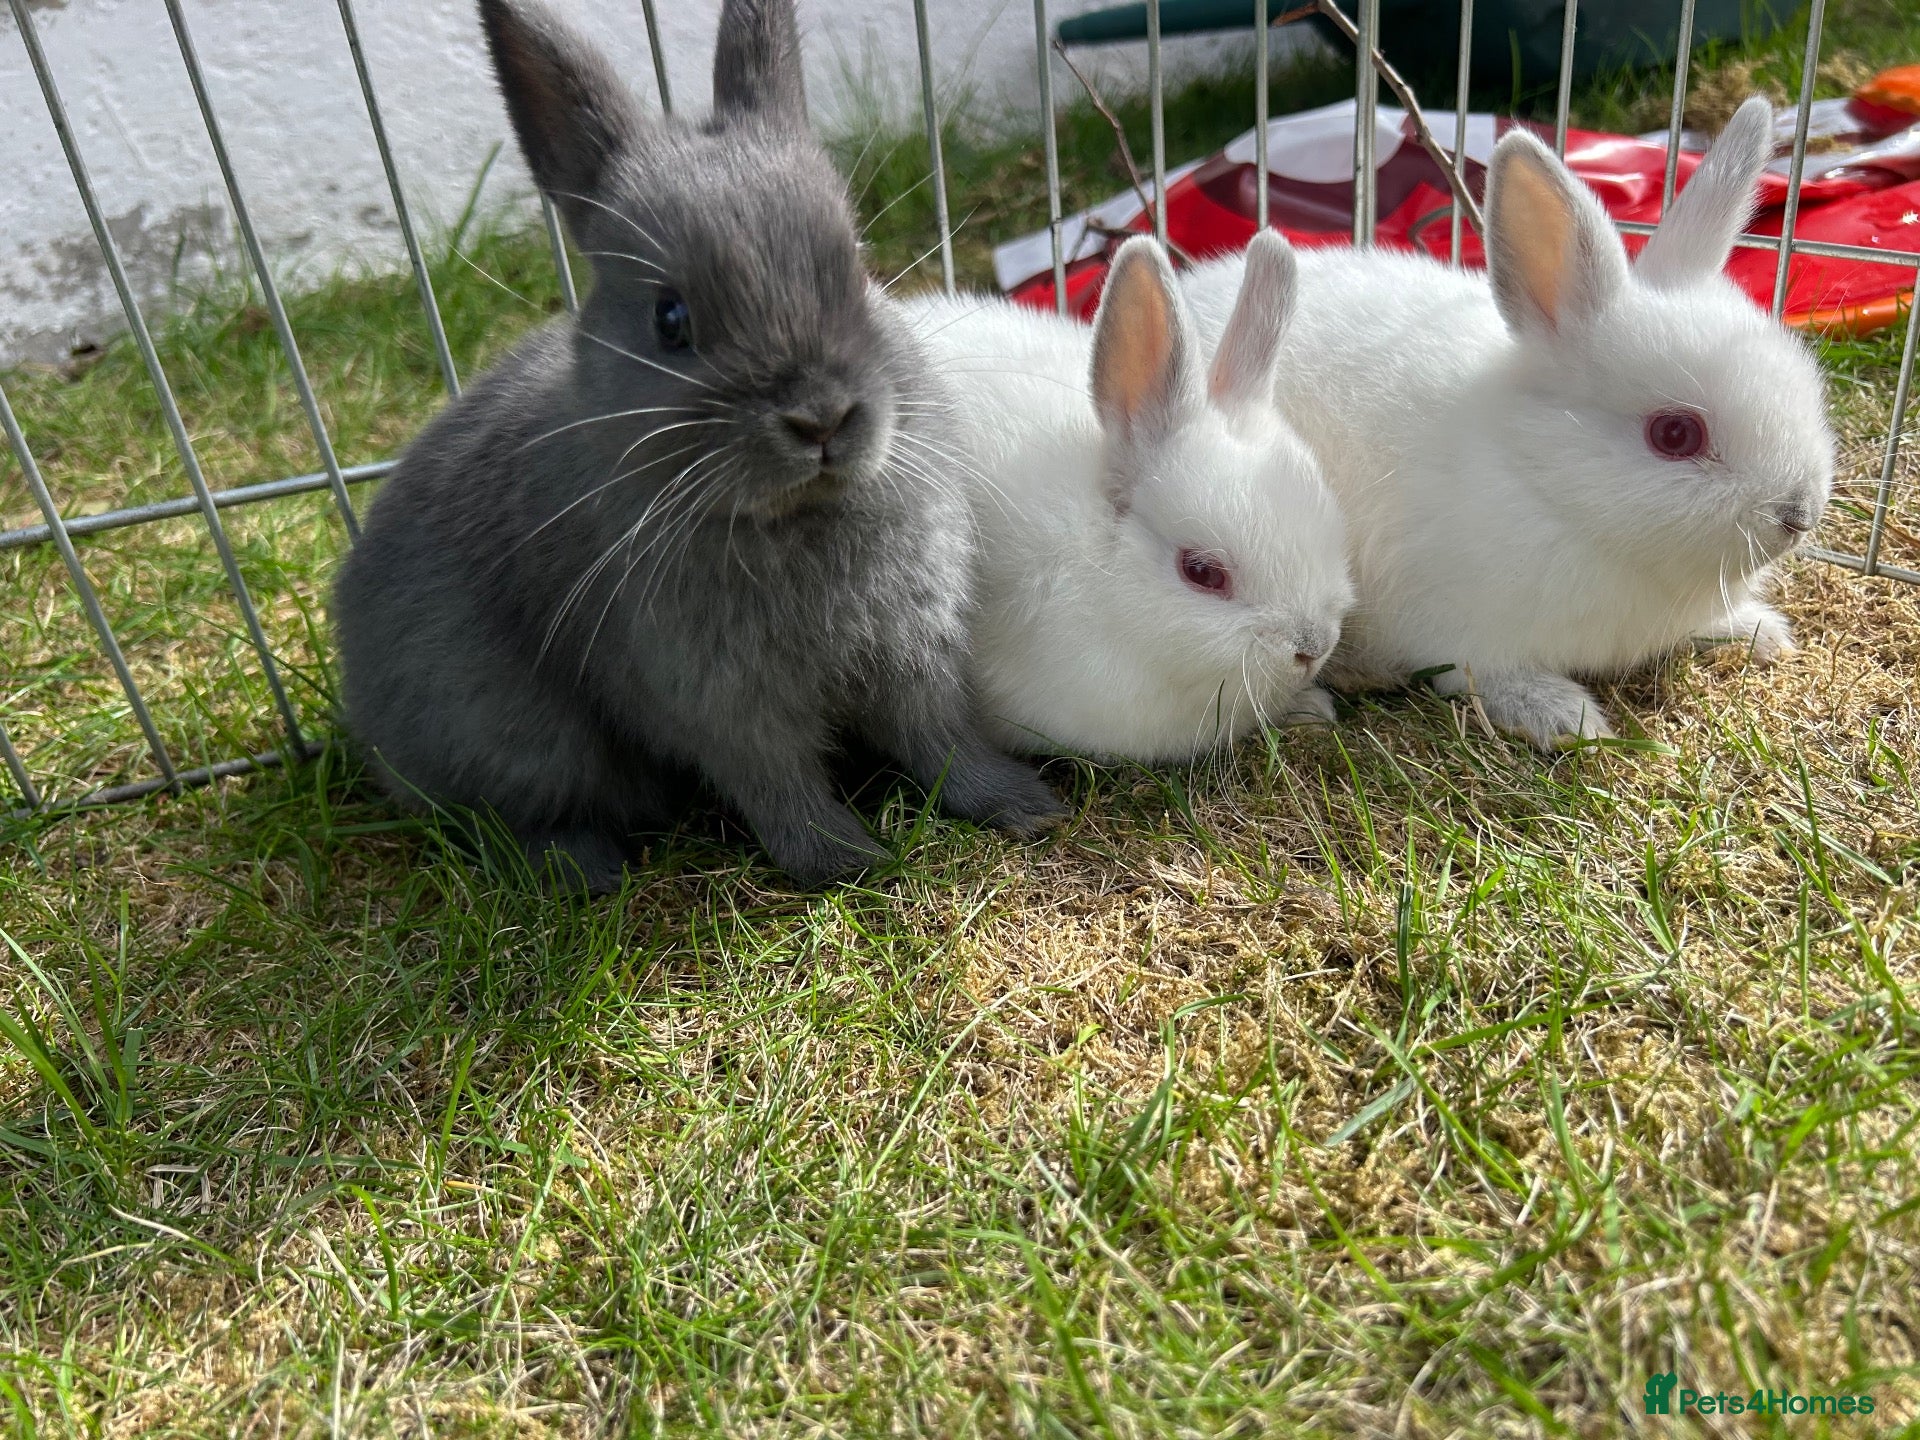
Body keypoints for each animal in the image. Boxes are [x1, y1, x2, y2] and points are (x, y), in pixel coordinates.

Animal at [332, 0, 1062, 892]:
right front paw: (850, 864)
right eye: (670, 319)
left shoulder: (911, 654)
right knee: (514, 818)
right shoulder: (720, 703)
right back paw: (589, 874)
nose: (821, 418)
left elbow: (941, 741)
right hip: (514, 734)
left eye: (855, 267)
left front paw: (1024, 806)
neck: (795, 518)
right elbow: (781, 789)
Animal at [1179, 96, 1835, 750]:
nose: (1798, 516)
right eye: (1675, 435)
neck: (1543, 482)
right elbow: (1488, 675)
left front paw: (1758, 631)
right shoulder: (1459, 628)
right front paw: (1565, 718)